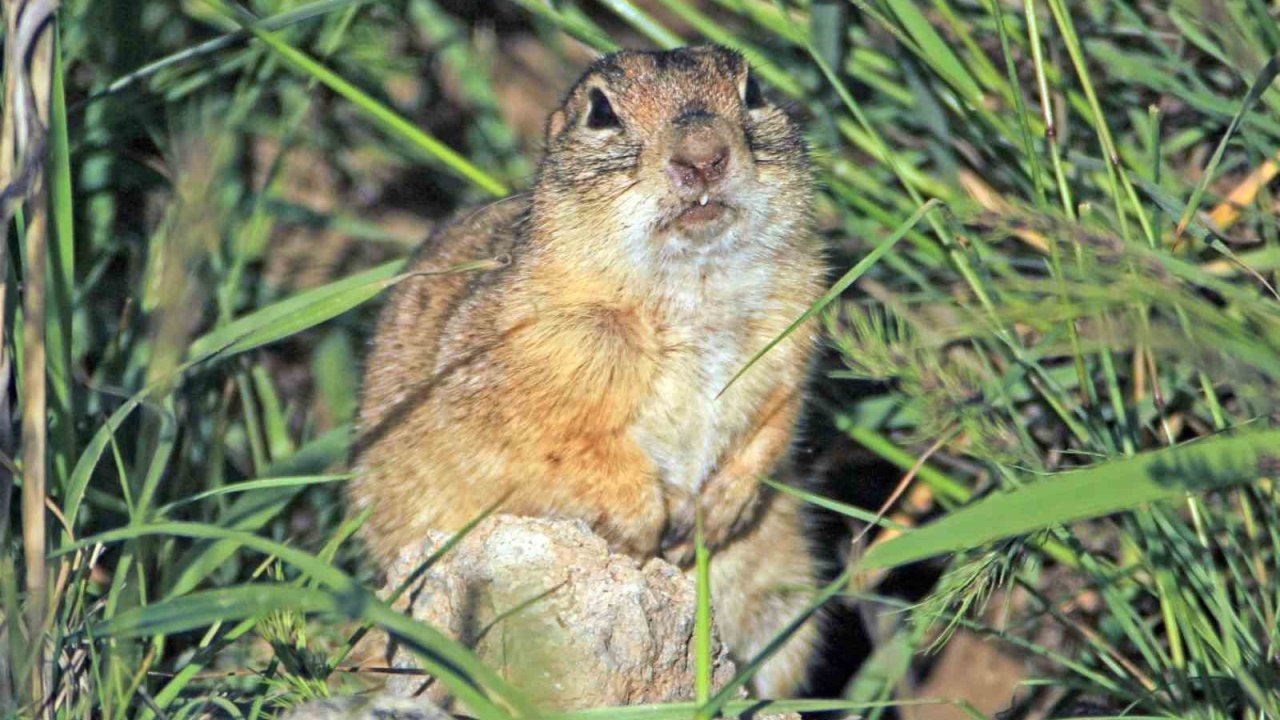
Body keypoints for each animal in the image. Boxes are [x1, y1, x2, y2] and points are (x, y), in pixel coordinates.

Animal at [350, 46, 824, 696]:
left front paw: (715, 513)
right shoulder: (534, 359)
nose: (703, 156)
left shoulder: (791, 337)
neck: (693, 286)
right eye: (600, 111)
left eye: (754, 93)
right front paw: (648, 525)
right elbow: (568, 451)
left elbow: (776, 423)